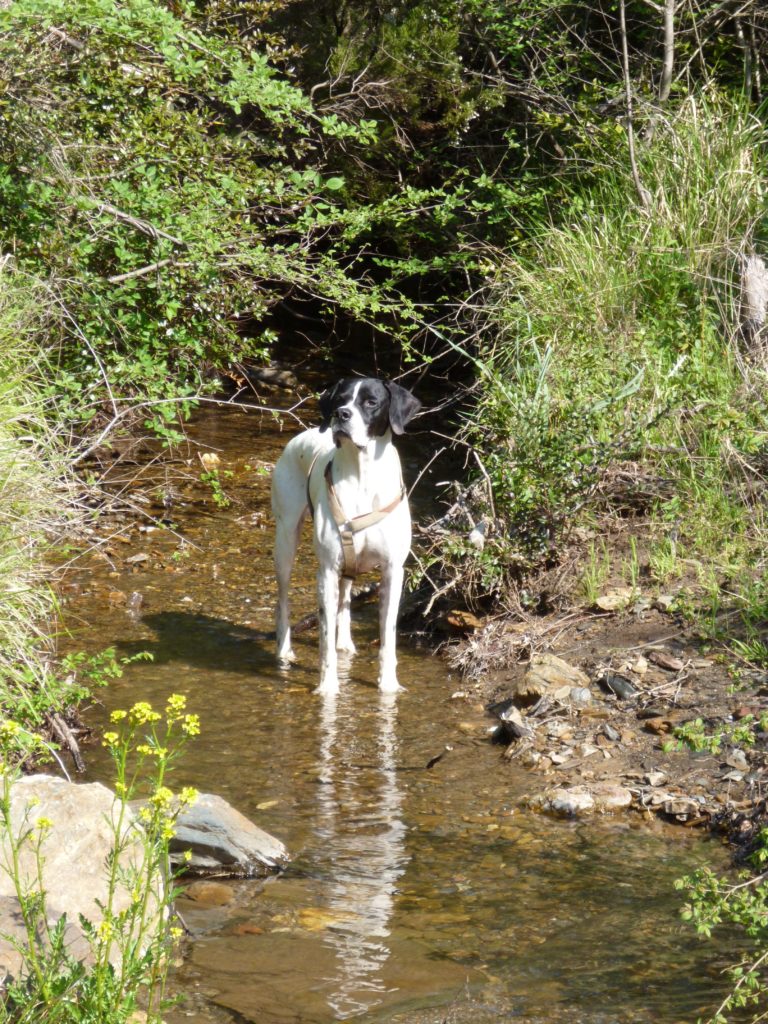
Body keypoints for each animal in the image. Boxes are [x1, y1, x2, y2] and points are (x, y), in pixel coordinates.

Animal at [272, 378, 421, 696]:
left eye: (371, 402)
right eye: (340, 398)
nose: (341, 415)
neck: (363, 474)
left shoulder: (393, 571)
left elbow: (388, 635)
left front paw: (388, 685)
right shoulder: (327, 571)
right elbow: (324, 638)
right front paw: (328, 688)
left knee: (345, 598)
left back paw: (345, 644)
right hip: (286, 541)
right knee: (283, 601)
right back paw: (285, 649)